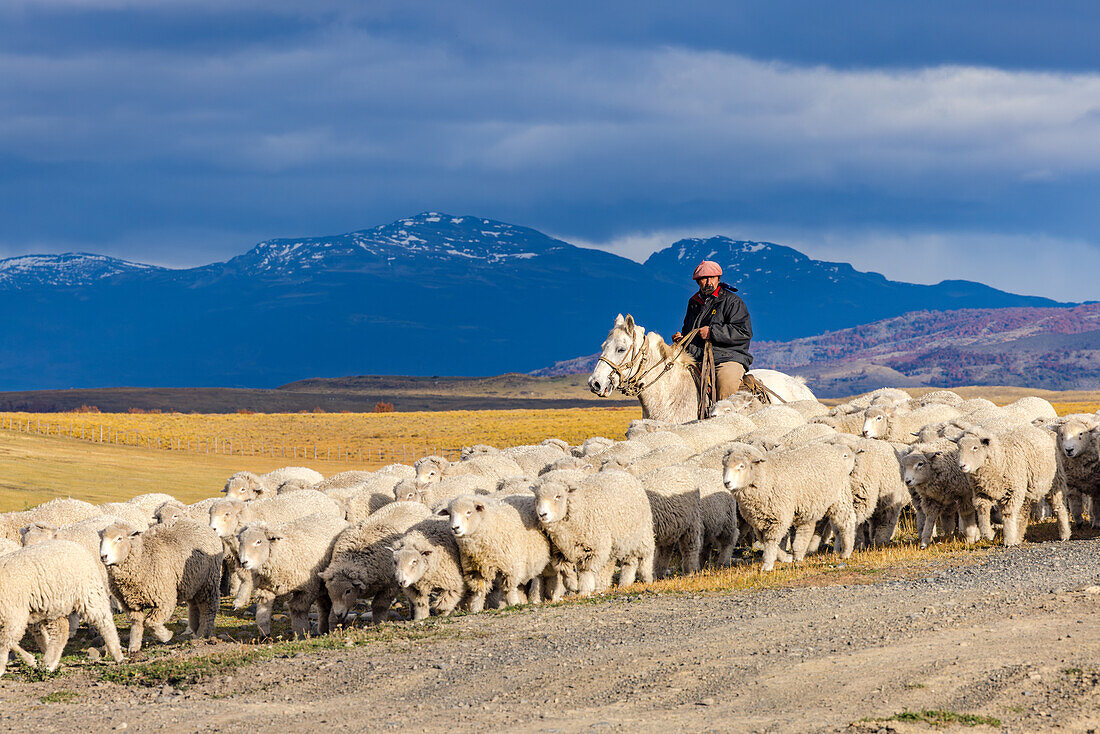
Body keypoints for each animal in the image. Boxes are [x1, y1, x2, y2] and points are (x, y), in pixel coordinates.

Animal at [0, 539, 123, 677]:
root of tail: (74, 544)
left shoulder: (14, 615)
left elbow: (4, 642)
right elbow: (9, 641)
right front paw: (31, 660)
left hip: (88, 592)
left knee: (104, 620)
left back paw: (117, 654)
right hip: (50, 605)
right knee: (60, 630)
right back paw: (49, 661)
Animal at [101, 519, 223, 651]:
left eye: (119, 538)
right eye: (101, 539)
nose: (103, 556)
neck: (144, 558)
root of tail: (202, 525)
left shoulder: (165, 600)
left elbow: (150, 623)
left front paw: (166, 636)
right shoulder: (130, 605)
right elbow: (137, 624)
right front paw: (133, 647)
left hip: (209, 582)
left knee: (208, 607)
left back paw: (203, 633)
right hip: (192, 583)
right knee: (195, 605)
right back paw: (195, 628)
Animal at [237, 510, 347, 638]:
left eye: (259, 541)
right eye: (240, 542)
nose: (243, 562)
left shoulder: (306, 589)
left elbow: (297, 609)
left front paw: (301, 634)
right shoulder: (263, 590)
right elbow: (262, 612)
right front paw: (265, 635)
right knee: (324, 605)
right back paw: (324, 629)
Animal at [721, 442, 858, 572]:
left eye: (741, 466)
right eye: (724, 466)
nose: (727, 483)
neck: (766, 476)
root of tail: (829, 447)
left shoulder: (778, 518)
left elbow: (771, 541)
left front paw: (767, 565)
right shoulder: (758, 523)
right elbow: (767, 541)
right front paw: (786, 558)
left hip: (840, 497)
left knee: (847, 522)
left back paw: (846, 552)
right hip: (808, 505)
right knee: (806, 529)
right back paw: (799, 554)